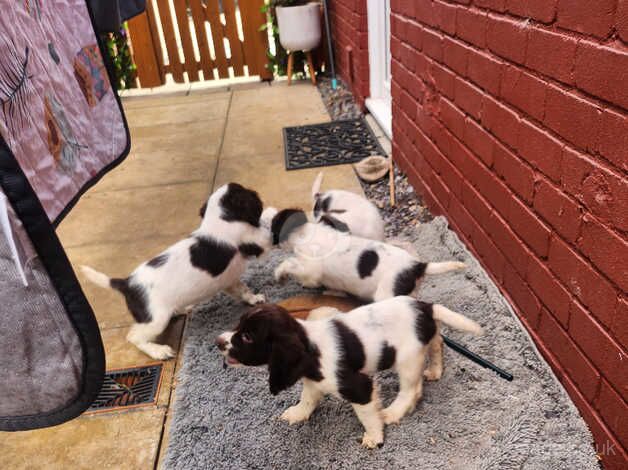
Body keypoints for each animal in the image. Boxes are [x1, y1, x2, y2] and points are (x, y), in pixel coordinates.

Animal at [81, 184, 270, 360]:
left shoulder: (229, 279)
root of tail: (125, 283)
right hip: (156, 319)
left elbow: (243, 290)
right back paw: (158, 351)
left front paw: (254, 299)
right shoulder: (254, 239)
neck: (218, 219)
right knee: (134, 337)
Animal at [216, 298, 480, 448]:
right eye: (238, 326)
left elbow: (367, 415)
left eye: (247, 337)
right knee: (438, 344)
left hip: (407, 360)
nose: (218, 342)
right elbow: (307, 399)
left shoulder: (358, 387)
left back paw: (393, 412)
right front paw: (298, 414)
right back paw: (435, 370)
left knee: (411, 391)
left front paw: (375, 436)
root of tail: (424, 306)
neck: (310, 347)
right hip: (427, 338)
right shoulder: (312, 381)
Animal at [270, 208, 466, 302]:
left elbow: (290, 263)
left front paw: (280, 274)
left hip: (386, 295)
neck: (307, 233)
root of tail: (418, 266)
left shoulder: (311, 270)